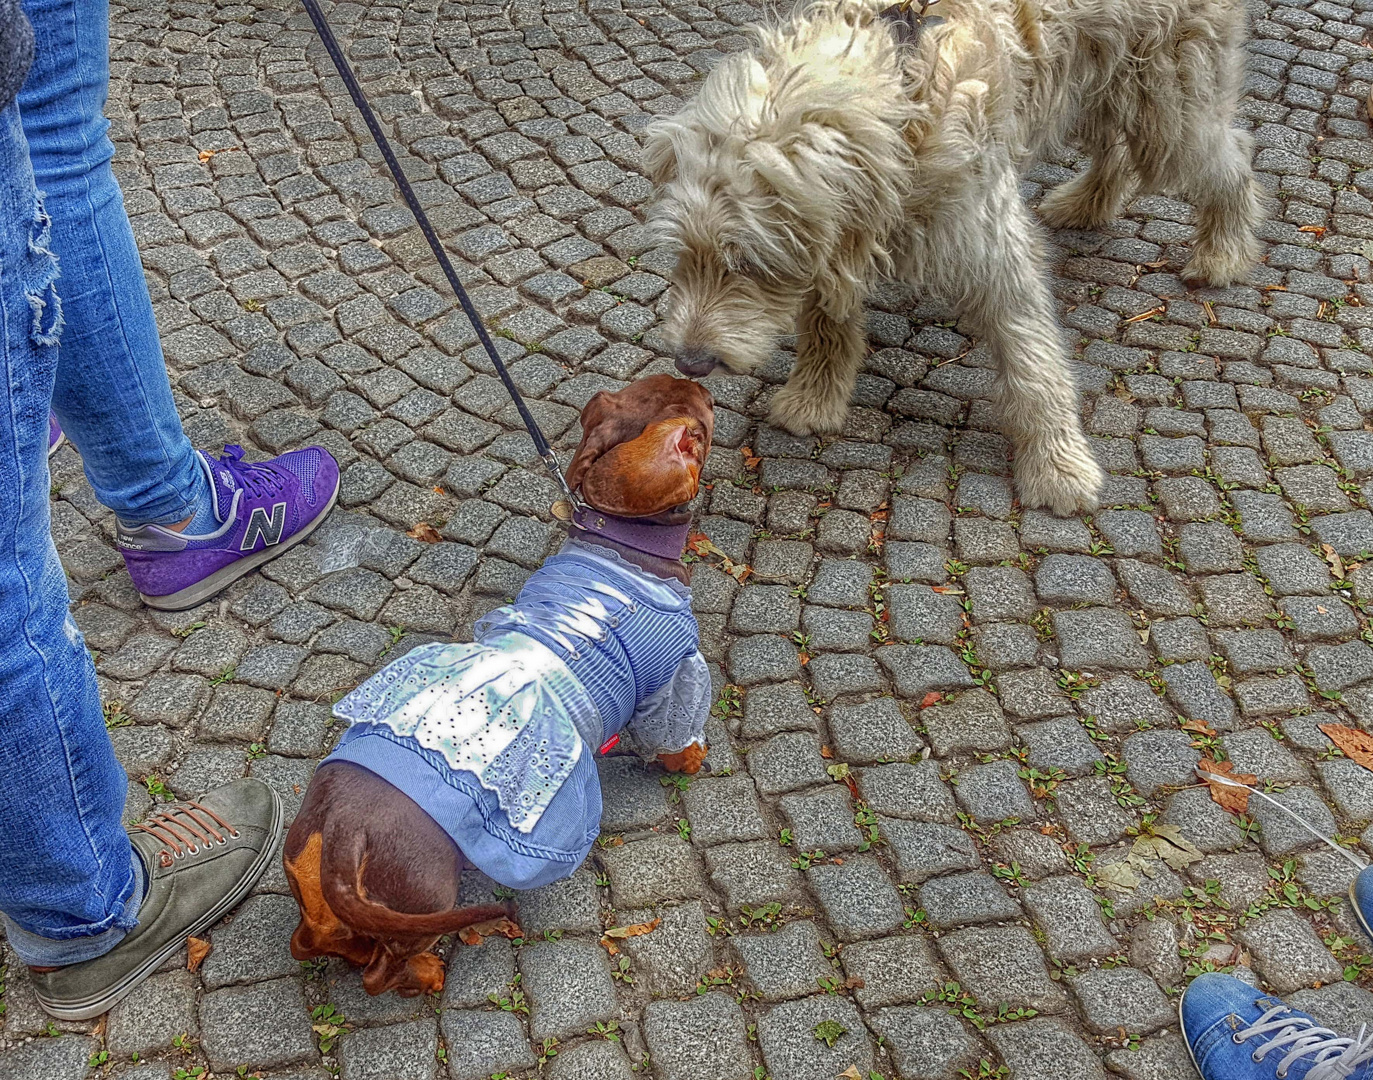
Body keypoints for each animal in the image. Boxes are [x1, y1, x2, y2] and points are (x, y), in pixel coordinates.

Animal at [648, 0, 1257, 515]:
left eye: (748, 264)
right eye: (686, 257)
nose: (691, 362)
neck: (905, 94)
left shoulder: (992, 248)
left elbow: (1033, 361)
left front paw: (1058, 466)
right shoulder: (837, 245)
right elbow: (826, 320)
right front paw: (814, 397)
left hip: (1167, 105)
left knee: (1231, 160)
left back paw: (1223, 250)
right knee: (1115, 152)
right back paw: (1087, 203)